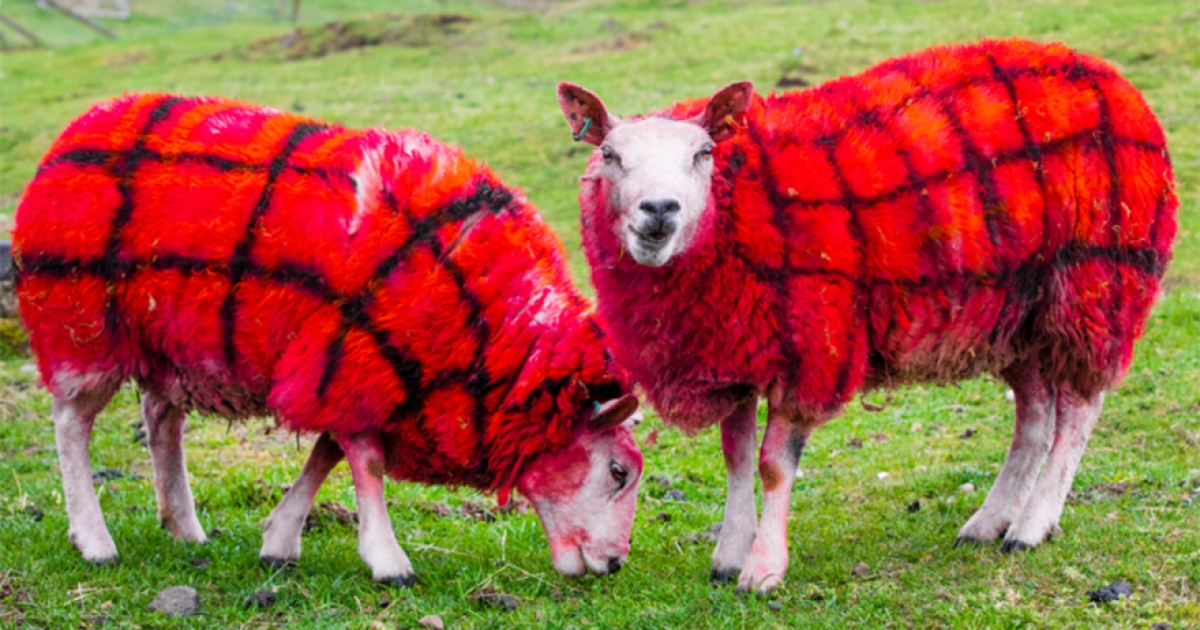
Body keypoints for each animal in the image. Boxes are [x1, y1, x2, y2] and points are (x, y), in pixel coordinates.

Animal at [14, 93, 643, 585]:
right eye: (618, 472)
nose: (615, 564)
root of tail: (81, 124)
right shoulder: (353, 362)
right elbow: (364, 462)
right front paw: (387, 559)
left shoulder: (347, 372)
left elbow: (328, 453)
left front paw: (279, 540)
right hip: (82, 328)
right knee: (71, 427)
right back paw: (94, 540)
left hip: (165, 341)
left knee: (161, 421)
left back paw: (184, 527)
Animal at [557, 38, 1177, 593]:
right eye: (609, 156)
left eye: (703, 153)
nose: (659, 209)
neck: (739, 206)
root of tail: (1106, 74)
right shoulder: (734, 347)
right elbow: (735, 457)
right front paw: (730, 556)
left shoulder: (812, 345)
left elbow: (773, 464)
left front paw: (764, 571)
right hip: (1017, 313)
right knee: (1034, 417)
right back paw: (989, 522)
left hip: (1094, 285)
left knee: (1078, 411)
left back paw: (1031, 525)